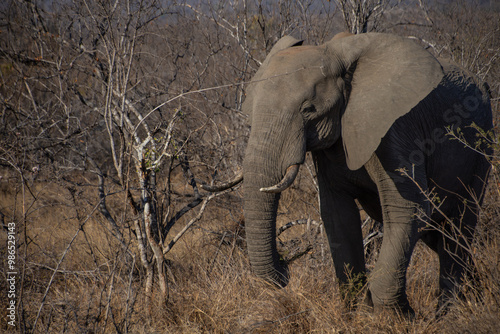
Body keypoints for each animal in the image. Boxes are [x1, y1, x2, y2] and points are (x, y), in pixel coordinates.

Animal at [204, 32, 492, 314]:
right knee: (438, 233)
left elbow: (409, 208)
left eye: (308, 110)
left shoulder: (396, 129)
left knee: (458, 228)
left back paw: (451, 313)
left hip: (481, 149)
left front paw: (396, 317)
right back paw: (476, 296)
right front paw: (357, 315)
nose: (286, 268)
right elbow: (338, 215)